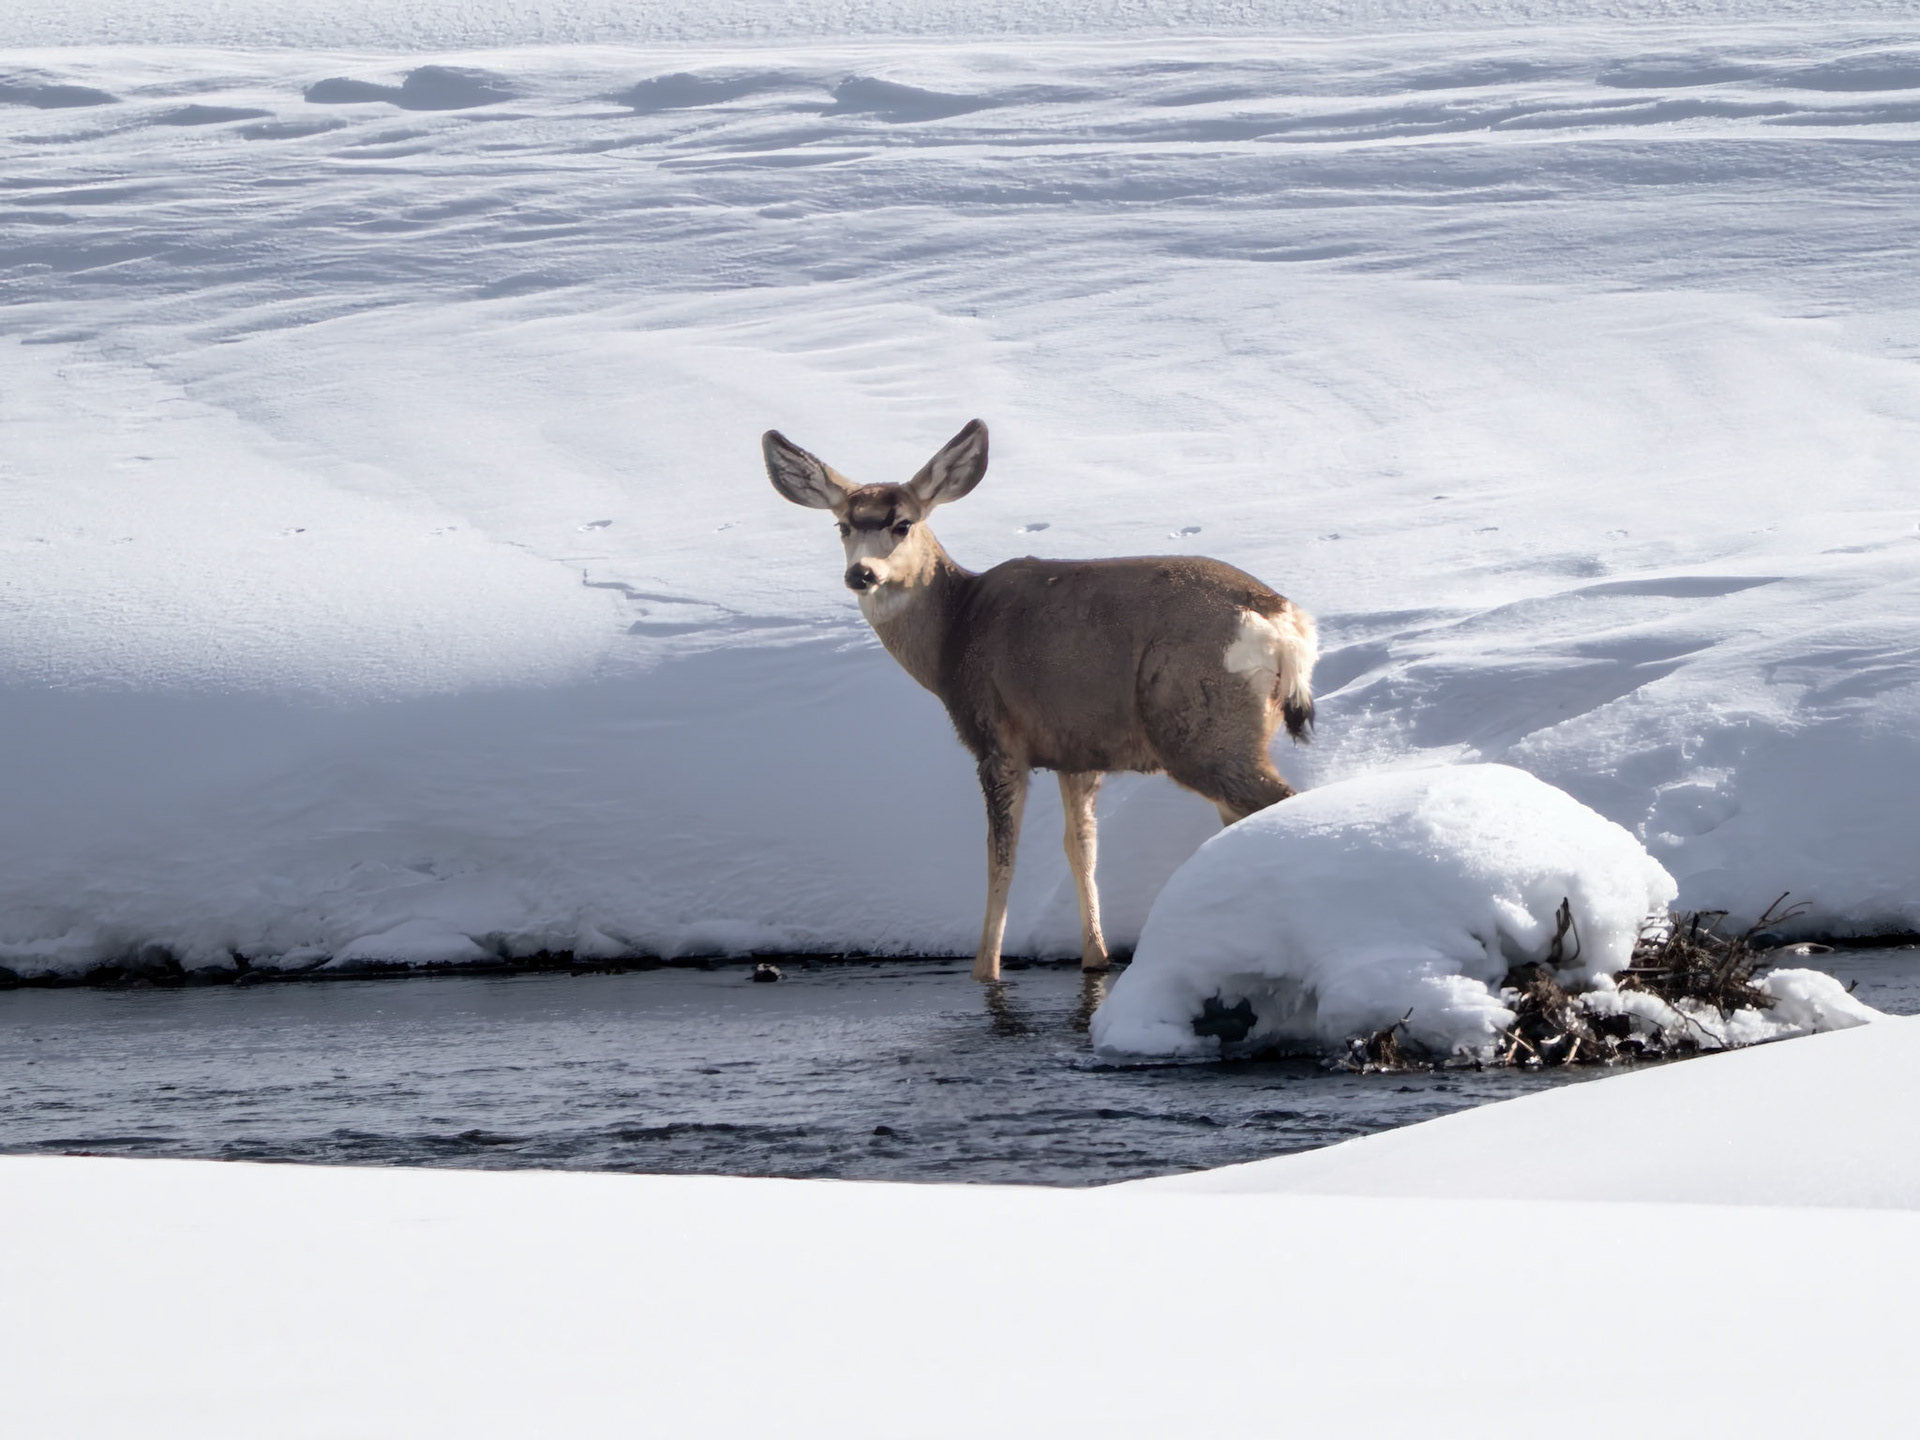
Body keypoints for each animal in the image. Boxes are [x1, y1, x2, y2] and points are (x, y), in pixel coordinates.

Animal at [763, 418, 1317, 984]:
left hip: (1200, 724)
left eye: (903, 523)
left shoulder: (998, 740)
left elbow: (1001, 857)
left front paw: (986, 969)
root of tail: (1285, 622)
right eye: (842, 526)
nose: (863, 574)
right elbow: (1081, 848)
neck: (952, 637)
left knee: (1278, 800)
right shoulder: (1075, 750)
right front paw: (1095, 956)